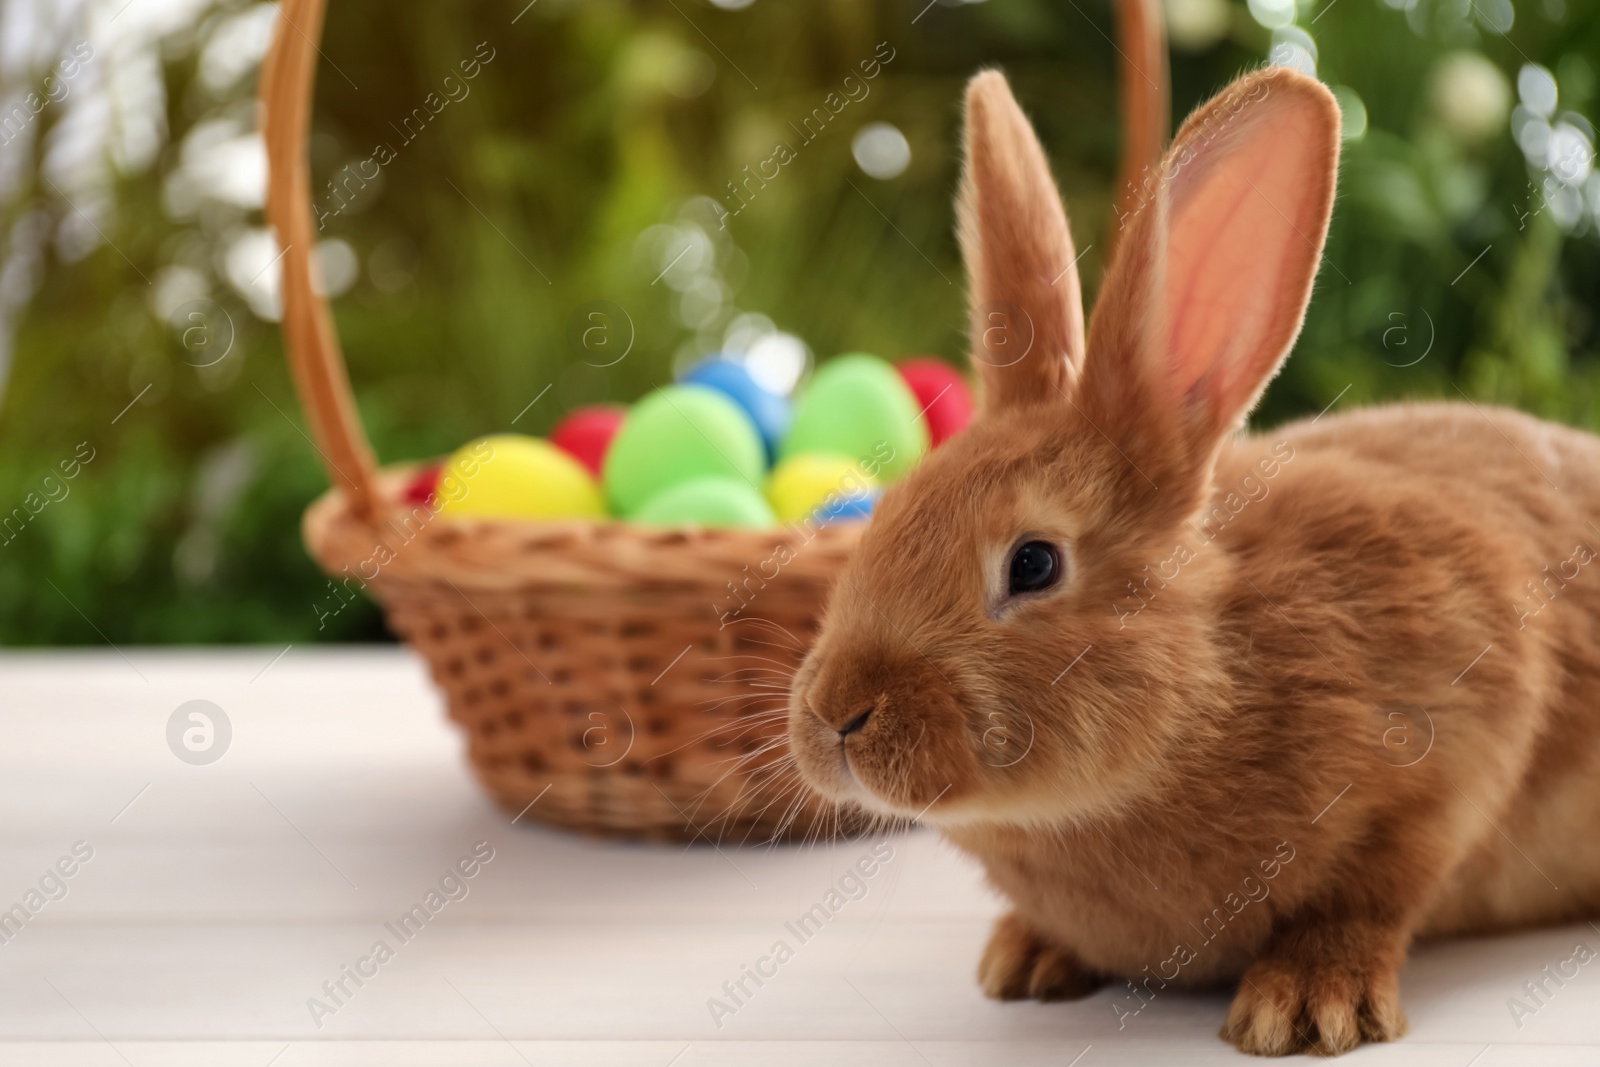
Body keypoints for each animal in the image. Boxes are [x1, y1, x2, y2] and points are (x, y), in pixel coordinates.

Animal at [784, 66, 1600, 1062]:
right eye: (886, 515)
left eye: (1033, 564)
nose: (836, 715)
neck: (1216, 679)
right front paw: (1023, 959)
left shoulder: (1465, 730)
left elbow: (1375, 891)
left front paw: (1307, 1006)